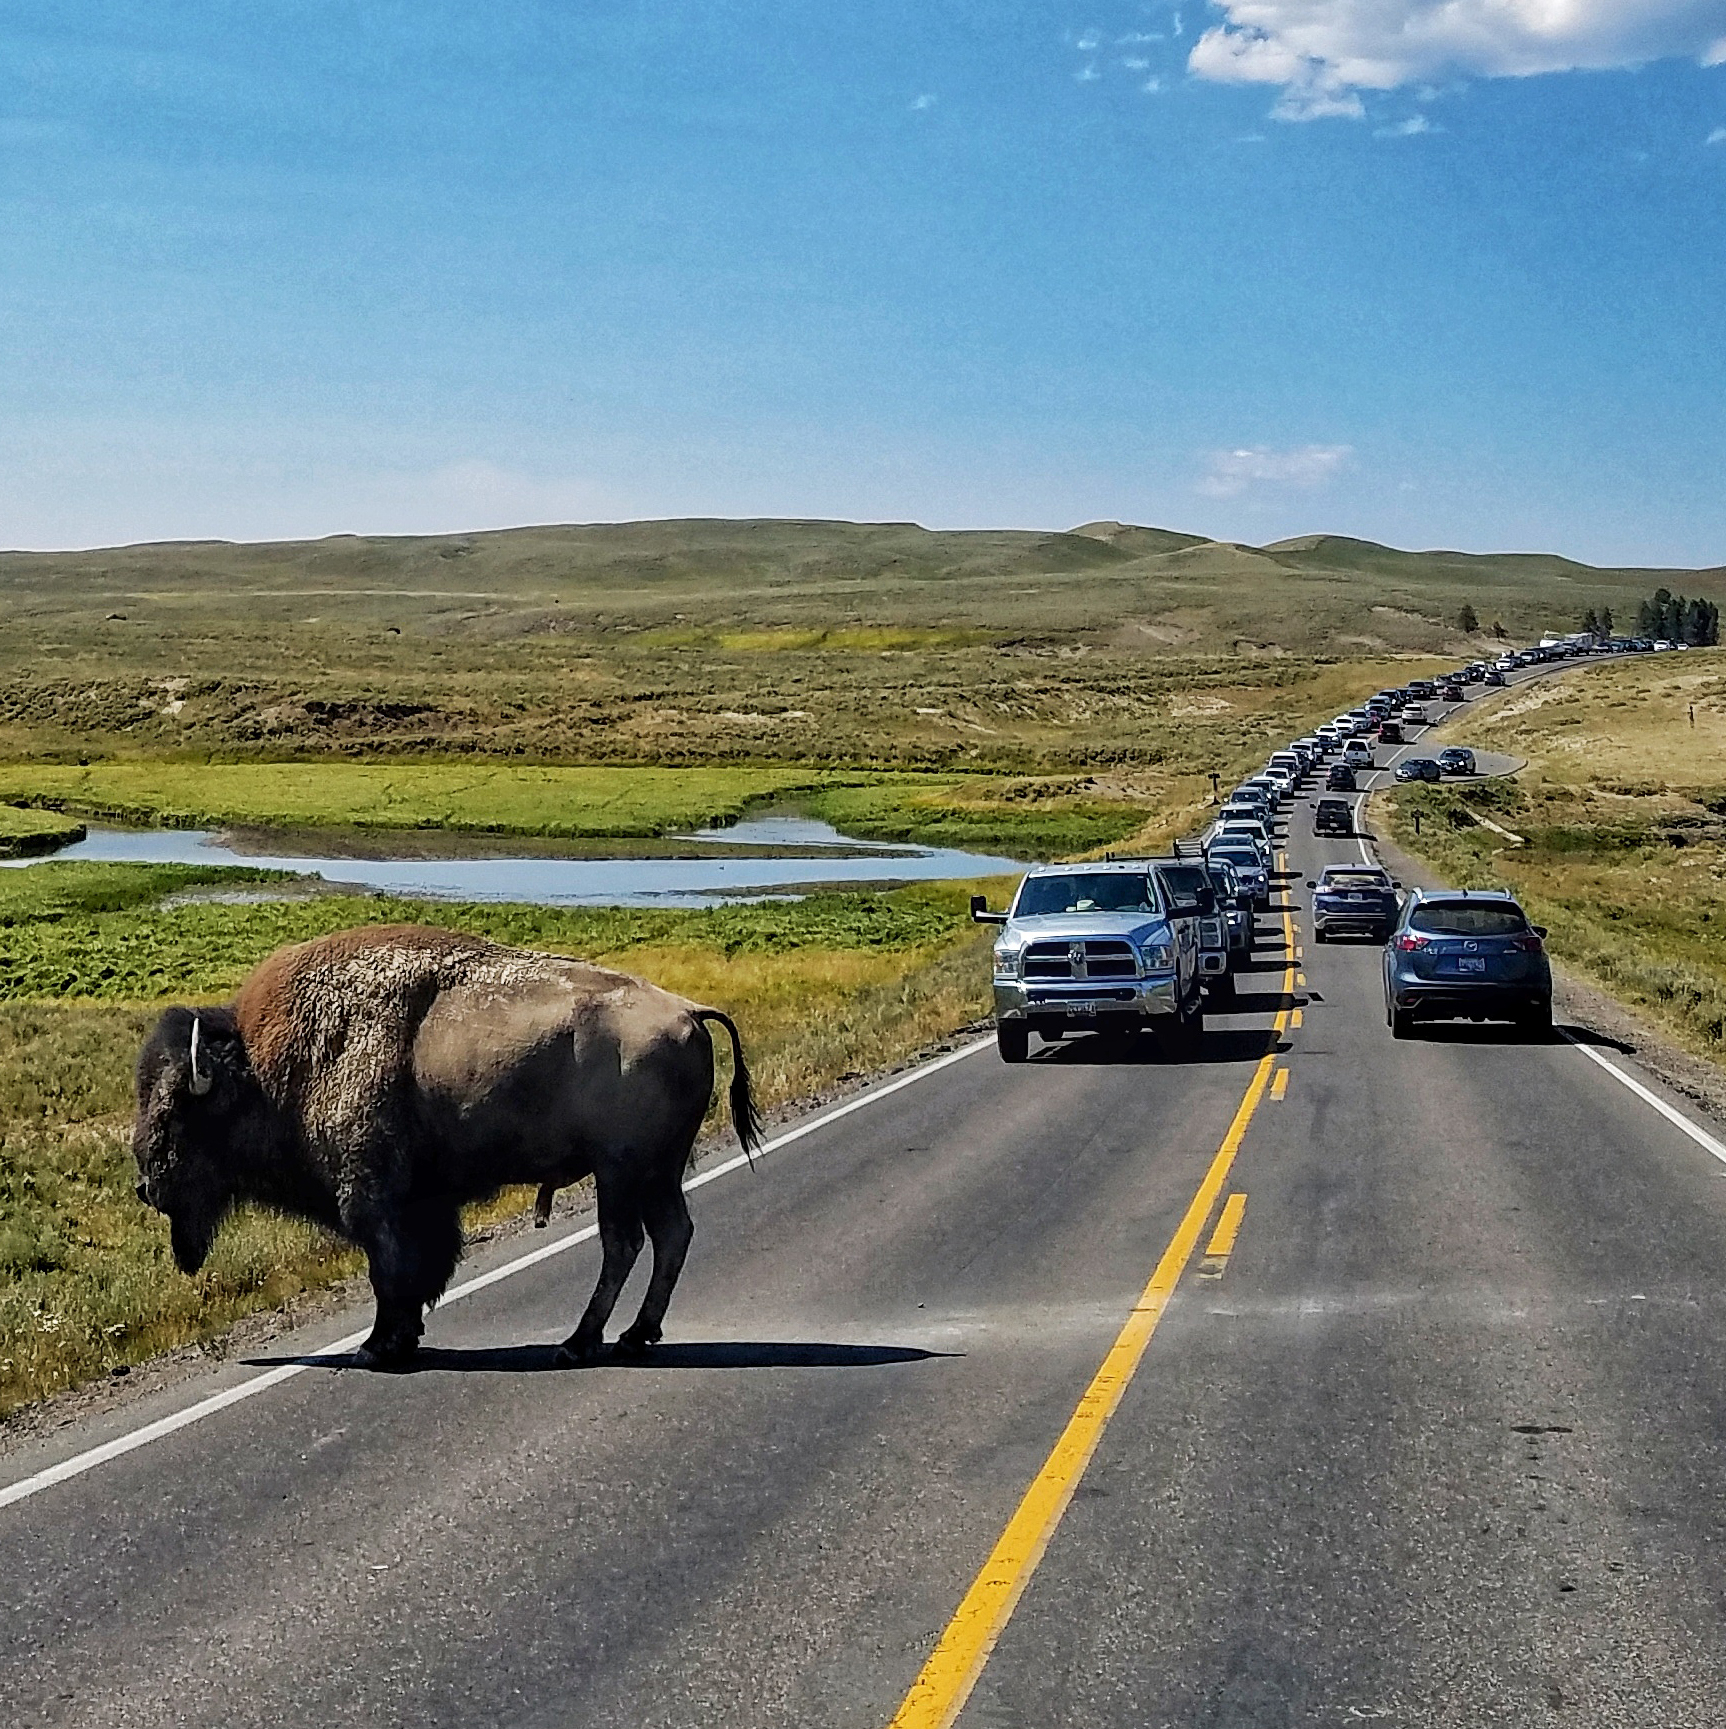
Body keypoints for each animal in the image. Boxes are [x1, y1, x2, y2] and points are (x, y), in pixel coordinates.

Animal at [127, 926, 764, 1369]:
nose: (146, 1185)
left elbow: (390, 1272)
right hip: (658, 1172)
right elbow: (418, 1270)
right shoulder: (421, 1204)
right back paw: (632, 1337)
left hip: (621, 1172)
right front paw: (402, 1340)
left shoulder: (373, 1201)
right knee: (670, 1234)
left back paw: (580, 1343)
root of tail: (689, 1011)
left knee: (624, 1243)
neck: (265, 1070)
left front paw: (377, 1348)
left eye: (175, 1113)